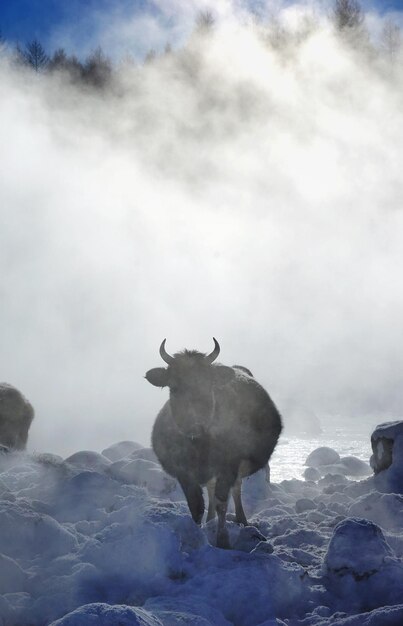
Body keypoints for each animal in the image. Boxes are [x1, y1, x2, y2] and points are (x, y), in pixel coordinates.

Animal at [147, 336, 282, 544]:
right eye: (174, 387)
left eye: (207, 386)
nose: (194, 424)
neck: (199, 445)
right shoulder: (184, 473)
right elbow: (196, 506)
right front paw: (196, 535)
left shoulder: (227, 467)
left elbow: (221, 502)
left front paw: (222, 540)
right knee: (211, 491)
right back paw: (210, 521)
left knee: (235, 490)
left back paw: (242, 520)